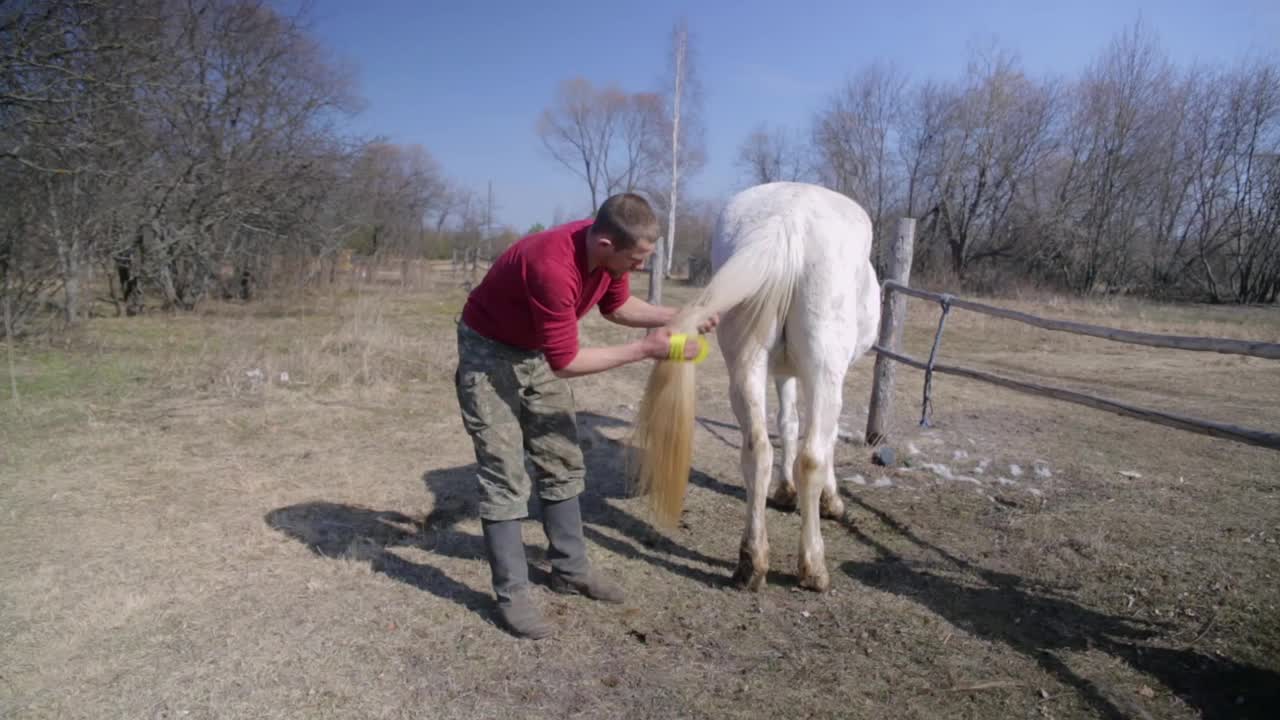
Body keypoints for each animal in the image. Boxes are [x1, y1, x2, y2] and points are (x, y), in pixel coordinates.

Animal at [627, 181, 880, 591]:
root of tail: (788, 223)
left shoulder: (783, 372)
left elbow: (787, 424)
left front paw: (784, 492)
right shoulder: (822, 376)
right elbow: (823, 440)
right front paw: (831, 502)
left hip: (746, 364)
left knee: (757, 450)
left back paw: (751, 561)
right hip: (824, 368)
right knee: (811, 456)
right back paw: (813, 567)